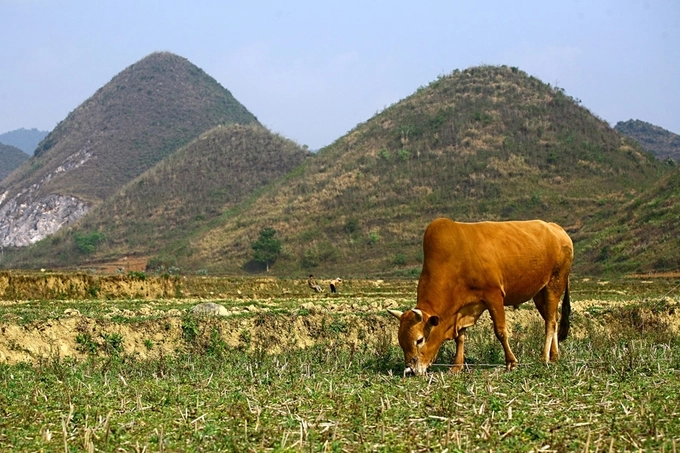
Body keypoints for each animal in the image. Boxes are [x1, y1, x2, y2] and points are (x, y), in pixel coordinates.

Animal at [388, 218, 572, 374]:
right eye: (400, 341)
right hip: (540, 294)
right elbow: (460, 337)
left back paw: (544, 357)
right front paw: (456, 366)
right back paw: (554, 356)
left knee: (550, 323)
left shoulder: (494, 296)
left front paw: (511, 362)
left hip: (554, 285)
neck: (455, 261)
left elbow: (501, 331)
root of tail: (558, 229)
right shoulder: (461, 308)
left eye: (419, 340)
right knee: (553, 319)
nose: (410, 371)